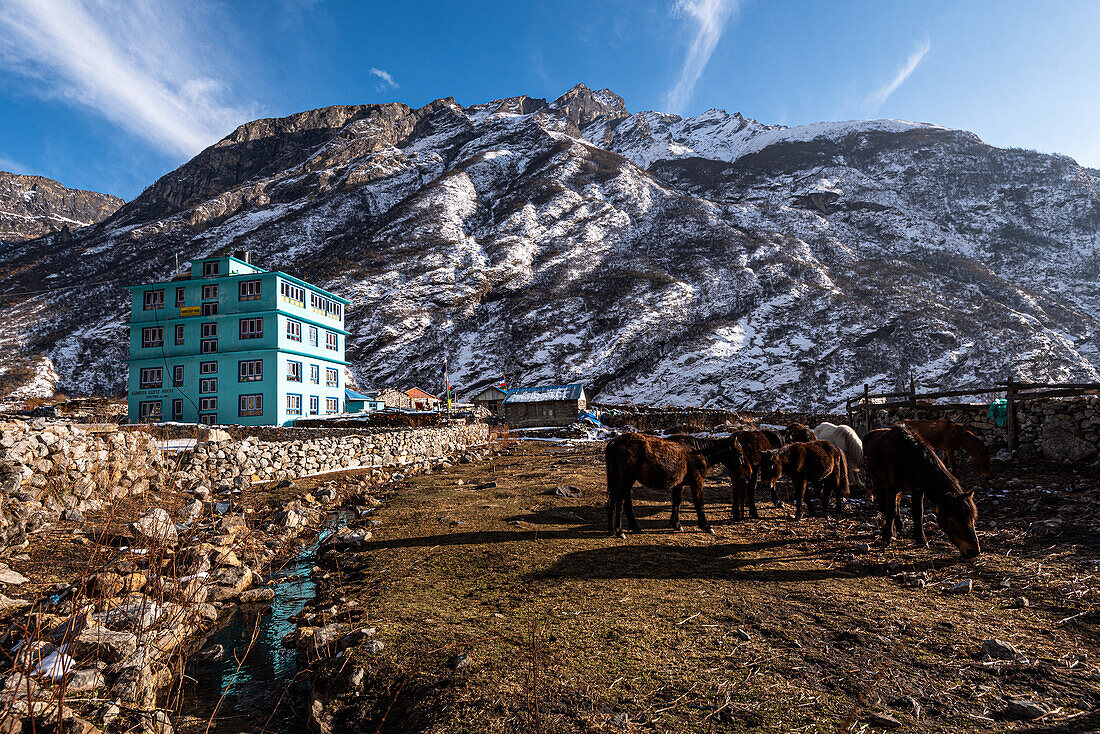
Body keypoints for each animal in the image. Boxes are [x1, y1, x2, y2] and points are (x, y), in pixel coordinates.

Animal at [866, 424, 981, 556]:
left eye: (973, 518)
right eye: (954, 519)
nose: (974, 551)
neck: (907, 459)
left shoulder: (918, 490)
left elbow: (918, 512)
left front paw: (921, 539)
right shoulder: (890, 488)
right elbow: (891, 511)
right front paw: (887, 536)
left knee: (897, 503)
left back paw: (900, 526)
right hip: (878, 482)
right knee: (885, 504)